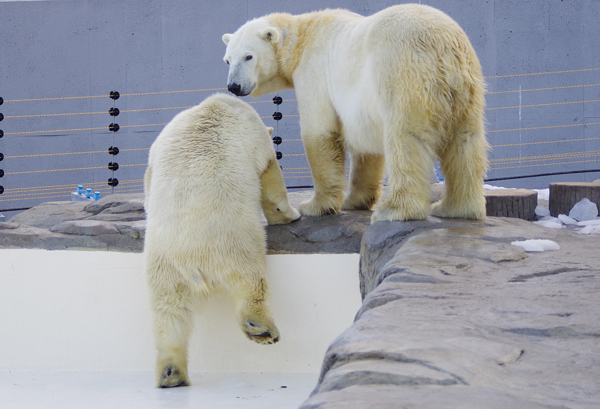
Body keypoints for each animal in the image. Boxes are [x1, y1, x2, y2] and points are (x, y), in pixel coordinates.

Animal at [141, 91, 300, 386]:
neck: (214, 105)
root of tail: (192, 264)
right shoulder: (255, 133)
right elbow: (270, 176)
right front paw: (290, 214)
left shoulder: (155, 151)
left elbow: (148, 177)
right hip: (235, 243)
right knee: (252, 282)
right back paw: (260, 327)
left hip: (163, 266)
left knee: (169, 313)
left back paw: (171, 373)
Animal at [223, 3, 490, 223]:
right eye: (227, 60)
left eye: (248, 56)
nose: (233, 86)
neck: (302, 39)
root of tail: (441, 47)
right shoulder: (360, 103)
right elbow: (366, 146)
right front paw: (356, 200)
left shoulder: (315, 71)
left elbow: (319, 132)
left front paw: (315, 206)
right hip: (465, 86)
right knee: (465, 141)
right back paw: (454, 208)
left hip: (403, 73)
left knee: (406, 140)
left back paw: (395, 210)